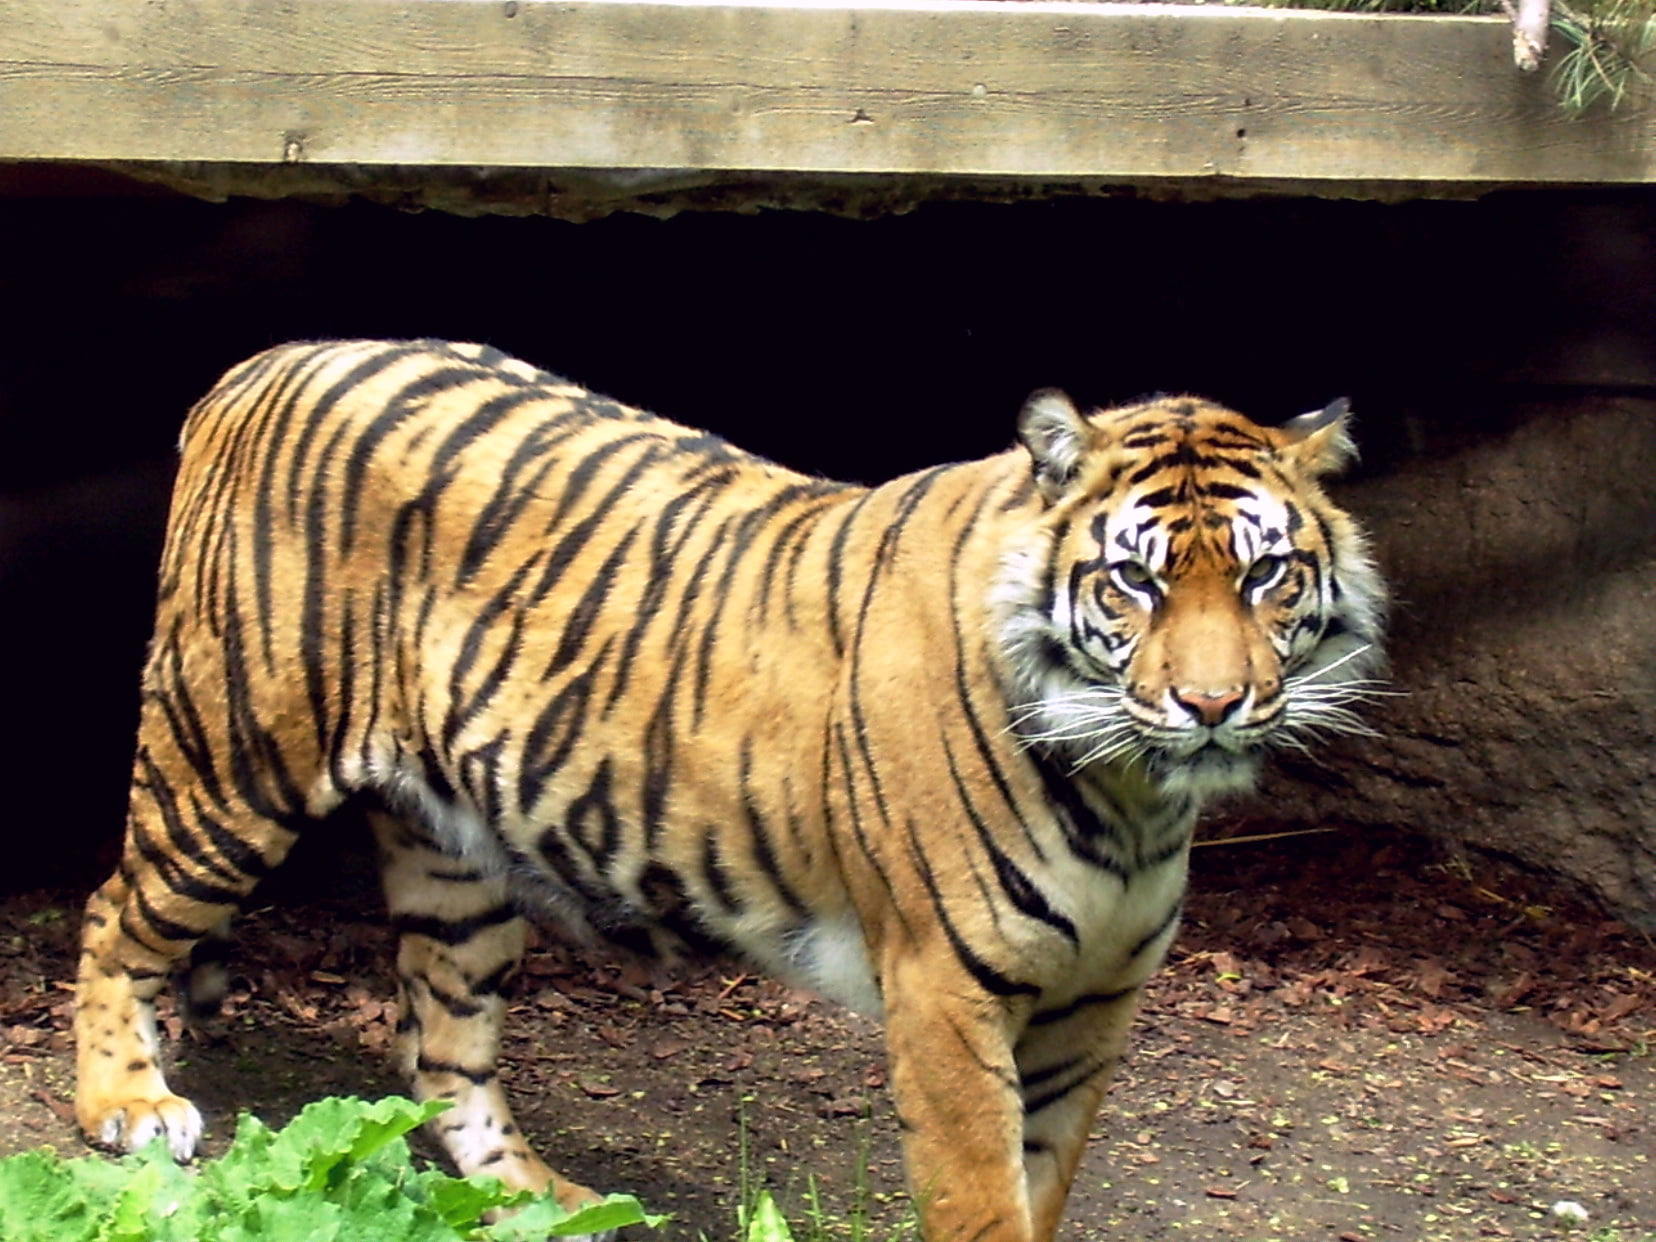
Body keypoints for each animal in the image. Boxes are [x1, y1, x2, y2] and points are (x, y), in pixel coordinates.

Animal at [77, 337, 1391, 1242]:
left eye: (1266, 576)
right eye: (1136, 583)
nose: (1214, 704)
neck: (1130, 793)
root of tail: (256, 366)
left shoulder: (1094, 1003)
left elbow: (1045, 1184)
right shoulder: (947, 994)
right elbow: (983, 1200)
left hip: (457, 857)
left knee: (440, 1048)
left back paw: (544, 1203)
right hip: (230, 759)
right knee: (113, 920)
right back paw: (125, 1105)